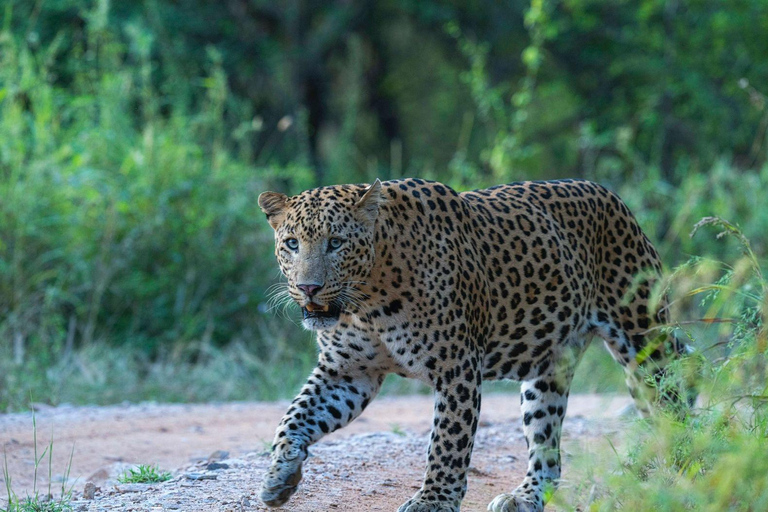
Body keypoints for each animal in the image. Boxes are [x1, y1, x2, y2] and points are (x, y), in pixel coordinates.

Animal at [256, 178, 689, 512]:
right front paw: (280, 474)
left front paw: (433, 501)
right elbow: (294, 416)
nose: (309, 287)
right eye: (292, 243)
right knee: (547, 450)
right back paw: (523, 497)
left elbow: (447, 442)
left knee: (674, 407)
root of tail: (612, 197)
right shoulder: (347, 372)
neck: (368, 301)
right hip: (547, 372)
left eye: (336, 242)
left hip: (644, 341)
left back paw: (684, 471)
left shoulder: (457, 367)